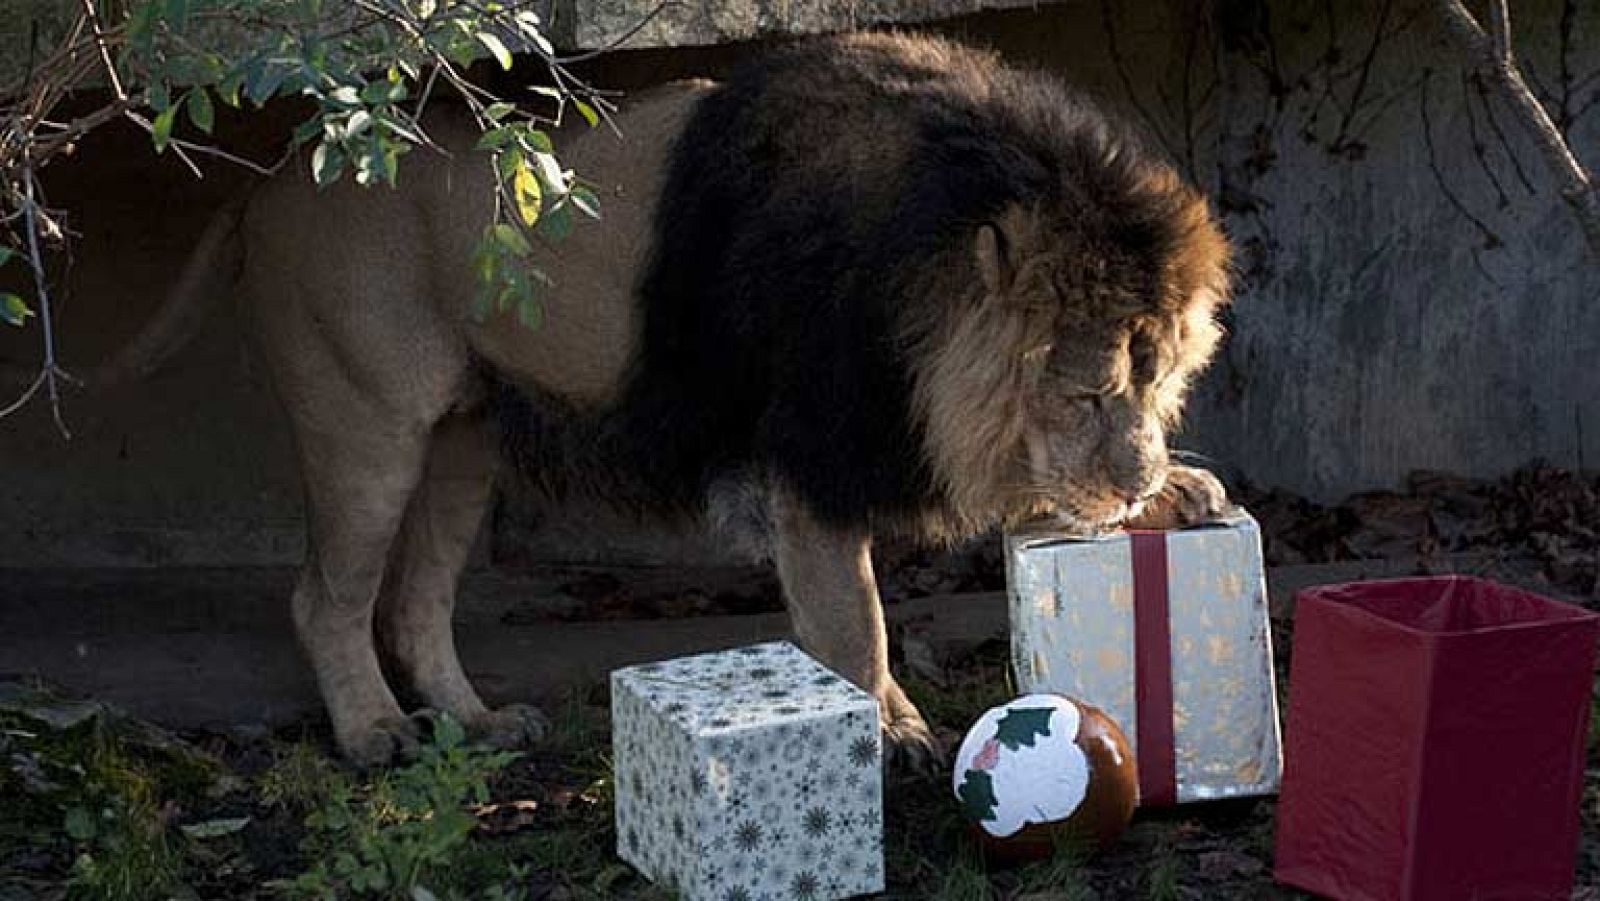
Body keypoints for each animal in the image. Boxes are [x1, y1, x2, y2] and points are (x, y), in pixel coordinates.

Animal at [106, 32, 1233, 768]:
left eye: (1162, 374)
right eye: (1082, 390)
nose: (1135, 476)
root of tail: (277, 172)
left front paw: (1181, 489)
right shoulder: (802, 461)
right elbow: (853, 624)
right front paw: (893, 732)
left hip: (467, 441)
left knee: (416, 602)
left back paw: (479, 725)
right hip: (365, 421)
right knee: (326, 598)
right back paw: (375, 735)